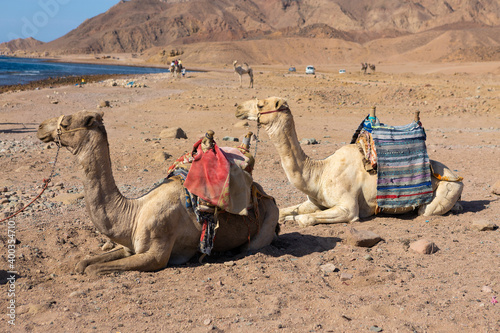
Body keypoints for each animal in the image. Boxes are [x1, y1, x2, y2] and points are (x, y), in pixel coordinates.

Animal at [37, 110, 280, 274]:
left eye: (66, 123)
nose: (40, 127)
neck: (134, 212)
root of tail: (264, 194)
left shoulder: (156, 254)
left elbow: (92, 270)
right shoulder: (130, 247)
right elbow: (83, 264)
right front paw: (82, 263)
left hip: (268, 221)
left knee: (250, 247)